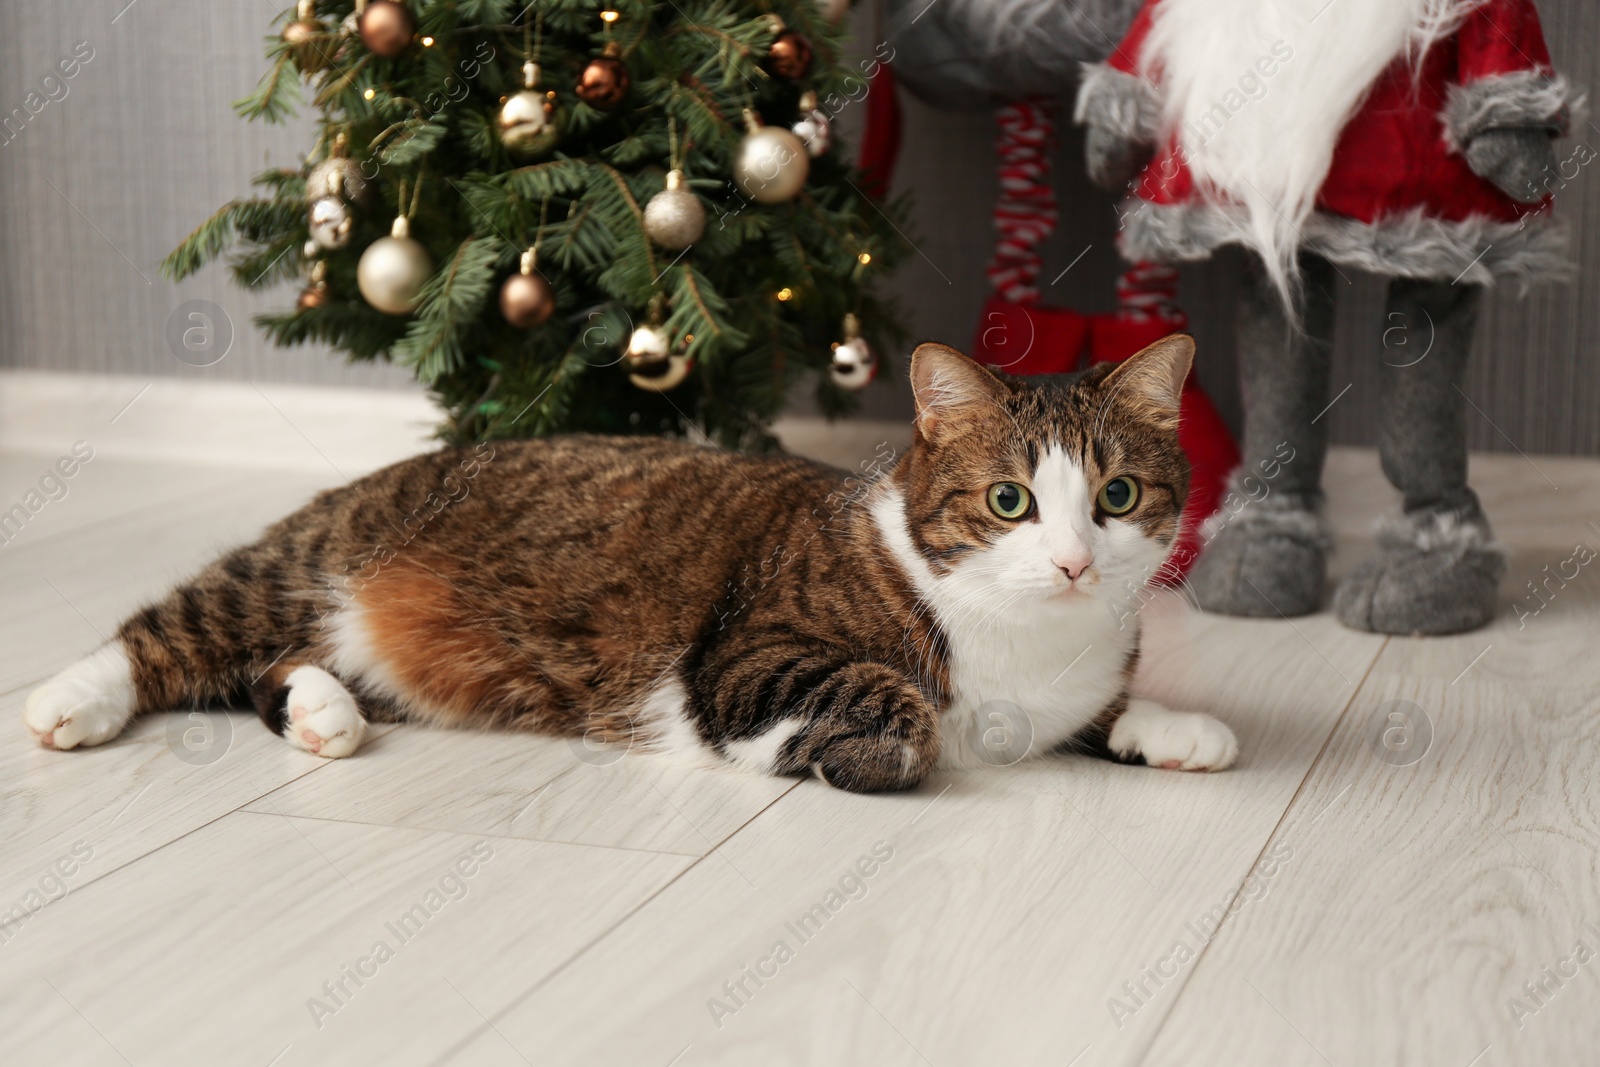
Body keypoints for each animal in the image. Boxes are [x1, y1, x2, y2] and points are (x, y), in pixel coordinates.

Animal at [21, 335, 1235, 793]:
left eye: (1117, 496)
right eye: (1008, 501)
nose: (1074, 563)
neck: (1032, 640)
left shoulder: (1074, 686)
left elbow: (1097, 715)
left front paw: (1176, 725)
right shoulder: (743, 656)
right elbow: (893, 706)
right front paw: (836, 748)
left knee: (269, 667)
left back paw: (323, 709)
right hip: (305, 562)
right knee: (175, 630)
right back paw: (68, 699)